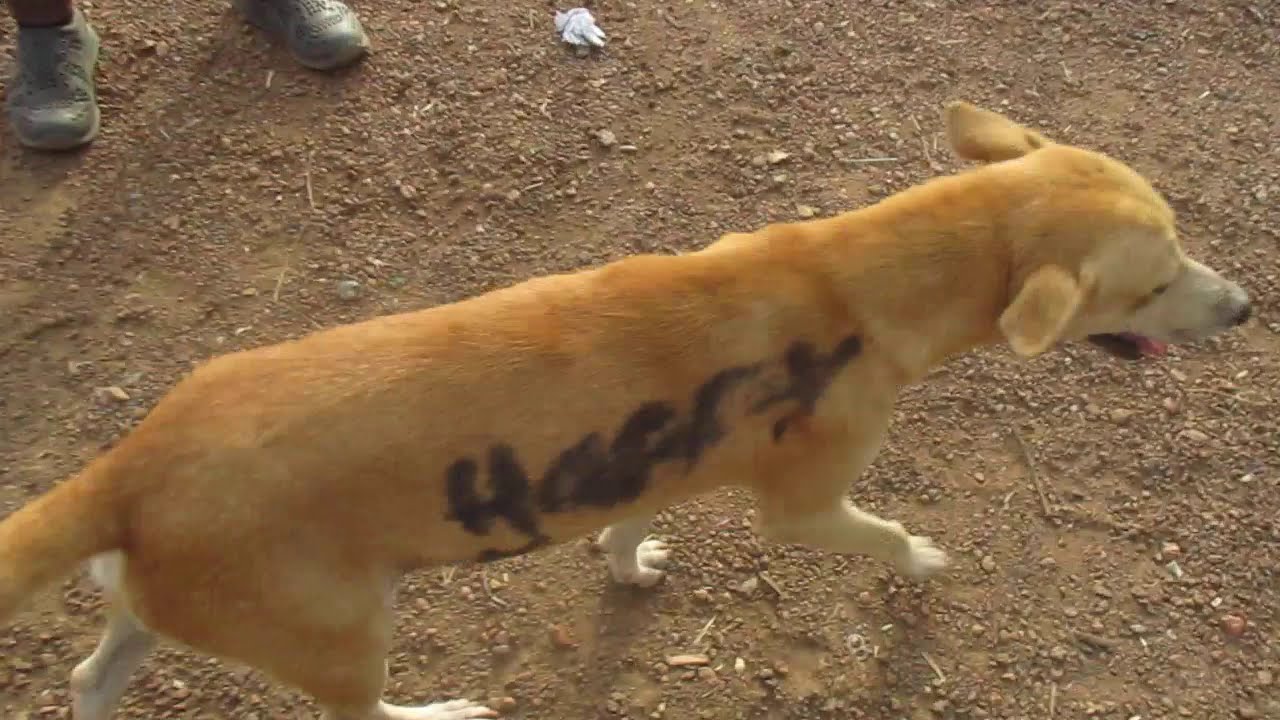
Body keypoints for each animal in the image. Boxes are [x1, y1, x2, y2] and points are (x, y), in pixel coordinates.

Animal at [0, 101, 1249, 717]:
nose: (1243, 307)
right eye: (1151, 283)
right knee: (362, 719)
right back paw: (439, 716)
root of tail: (130, 467)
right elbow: (890, 536)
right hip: (345, 638)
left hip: (159, 616)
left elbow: (624, 528)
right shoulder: (805, 508)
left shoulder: (656, 465)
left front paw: (629, 566)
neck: (857, 275)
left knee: (86, 682)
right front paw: (923, 563)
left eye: (1179, 241)